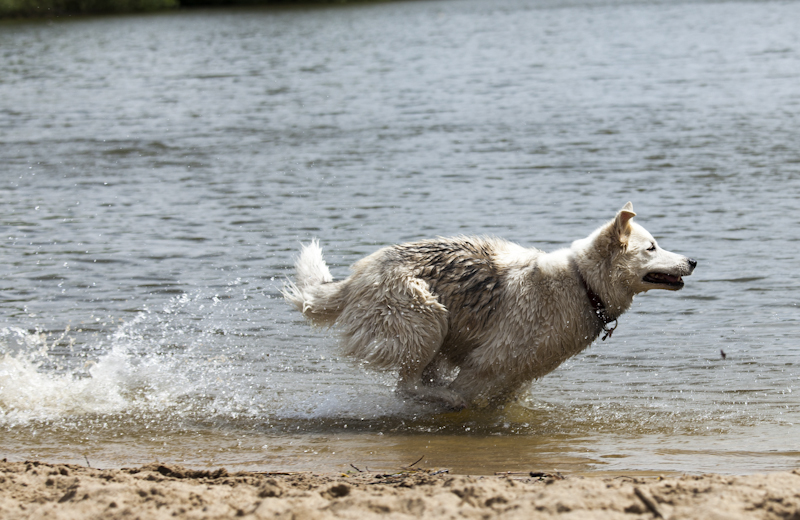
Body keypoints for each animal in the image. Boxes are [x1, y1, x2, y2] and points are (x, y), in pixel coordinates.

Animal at [284, 203, 696, 410]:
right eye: (652, 247)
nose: (692, 260)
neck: (583, 283)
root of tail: (356, 277)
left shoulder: (516, 376)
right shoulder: (487, 364)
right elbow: (469, 394)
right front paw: (457, 406)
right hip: (427, 319)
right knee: (406, 387)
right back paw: (444, 399)